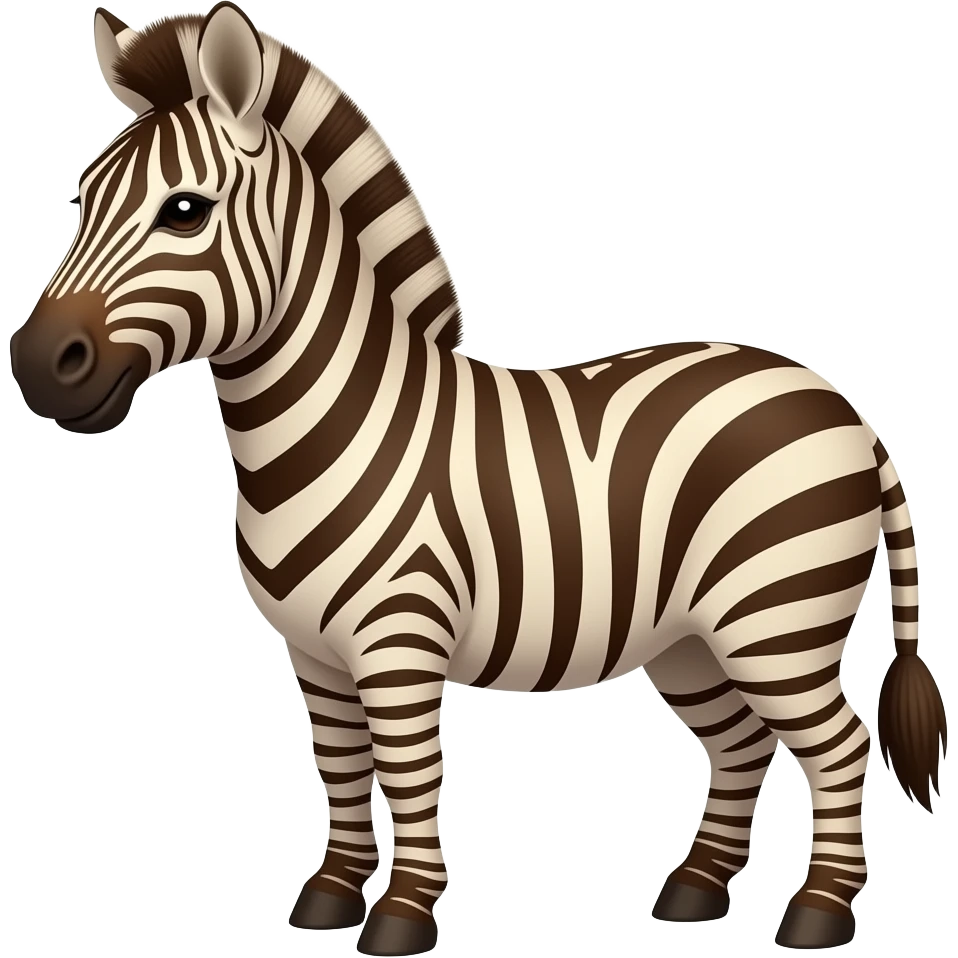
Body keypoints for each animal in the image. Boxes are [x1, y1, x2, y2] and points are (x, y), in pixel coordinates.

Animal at [9, 3, 946, 954]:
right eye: (81, 201)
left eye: (185, 212)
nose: (39, 367)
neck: (334, 426)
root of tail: (845, 409)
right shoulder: (314, 655)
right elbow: (342, 769)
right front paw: (332, 895)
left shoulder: (400, 640)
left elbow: (408, 770)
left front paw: (401, 914)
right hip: (692, 637)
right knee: (740, 744)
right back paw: (694, 890)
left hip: (779, 618)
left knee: (839, 745)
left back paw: (820, 910)